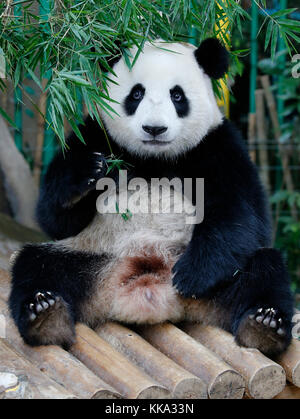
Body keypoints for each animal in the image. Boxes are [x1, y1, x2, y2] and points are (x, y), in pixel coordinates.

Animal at [8, 39, 292, 356]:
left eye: (177, 95)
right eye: (137, 93)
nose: (154, 129)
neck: (154, 158)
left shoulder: (217, 147)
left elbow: (243, 215)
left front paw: (192, 276)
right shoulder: (96, 135)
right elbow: (55, 219)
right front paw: (86, 175)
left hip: (226, 276)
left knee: (264, 269)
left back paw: (263, 326)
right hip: (87, 256)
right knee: (36, 265)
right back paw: (45, 314)